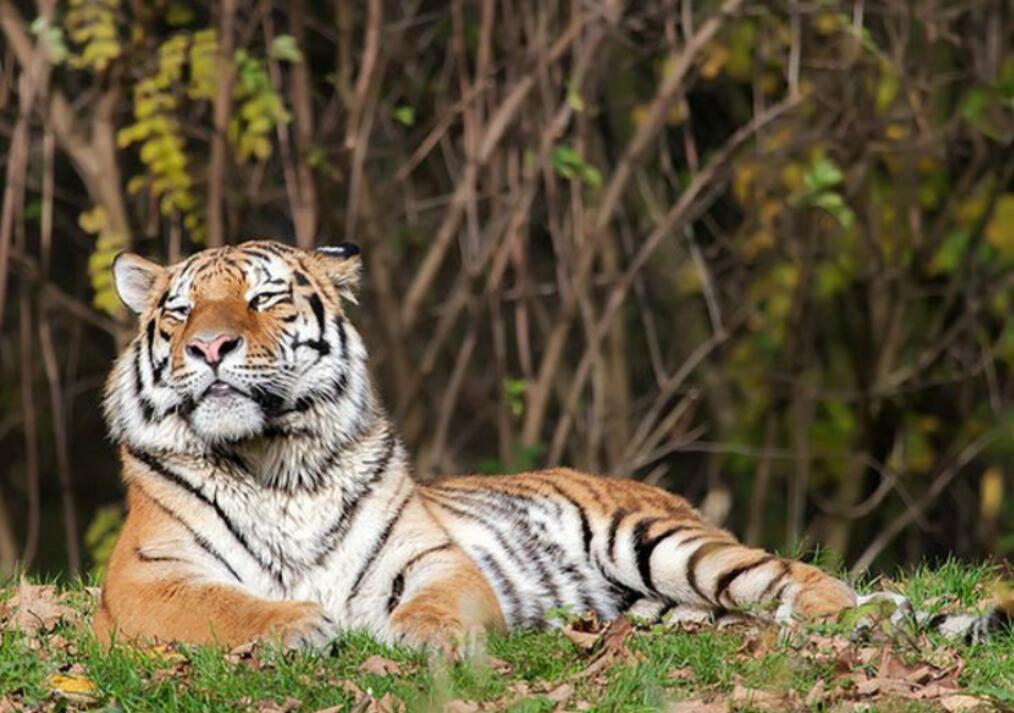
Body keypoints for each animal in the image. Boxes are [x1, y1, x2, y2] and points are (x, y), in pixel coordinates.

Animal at [93, 241, 1005, 653]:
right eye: (179, 311)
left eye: (265, 298)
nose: (209, 347)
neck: (276, 459)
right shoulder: (141, 582)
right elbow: (220, 604)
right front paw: (300, 623)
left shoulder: (431, 557)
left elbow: (436, 601)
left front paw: (418, 638)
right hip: (665, 603)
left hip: (667, 543)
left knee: (800, 578)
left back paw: (839, 620)